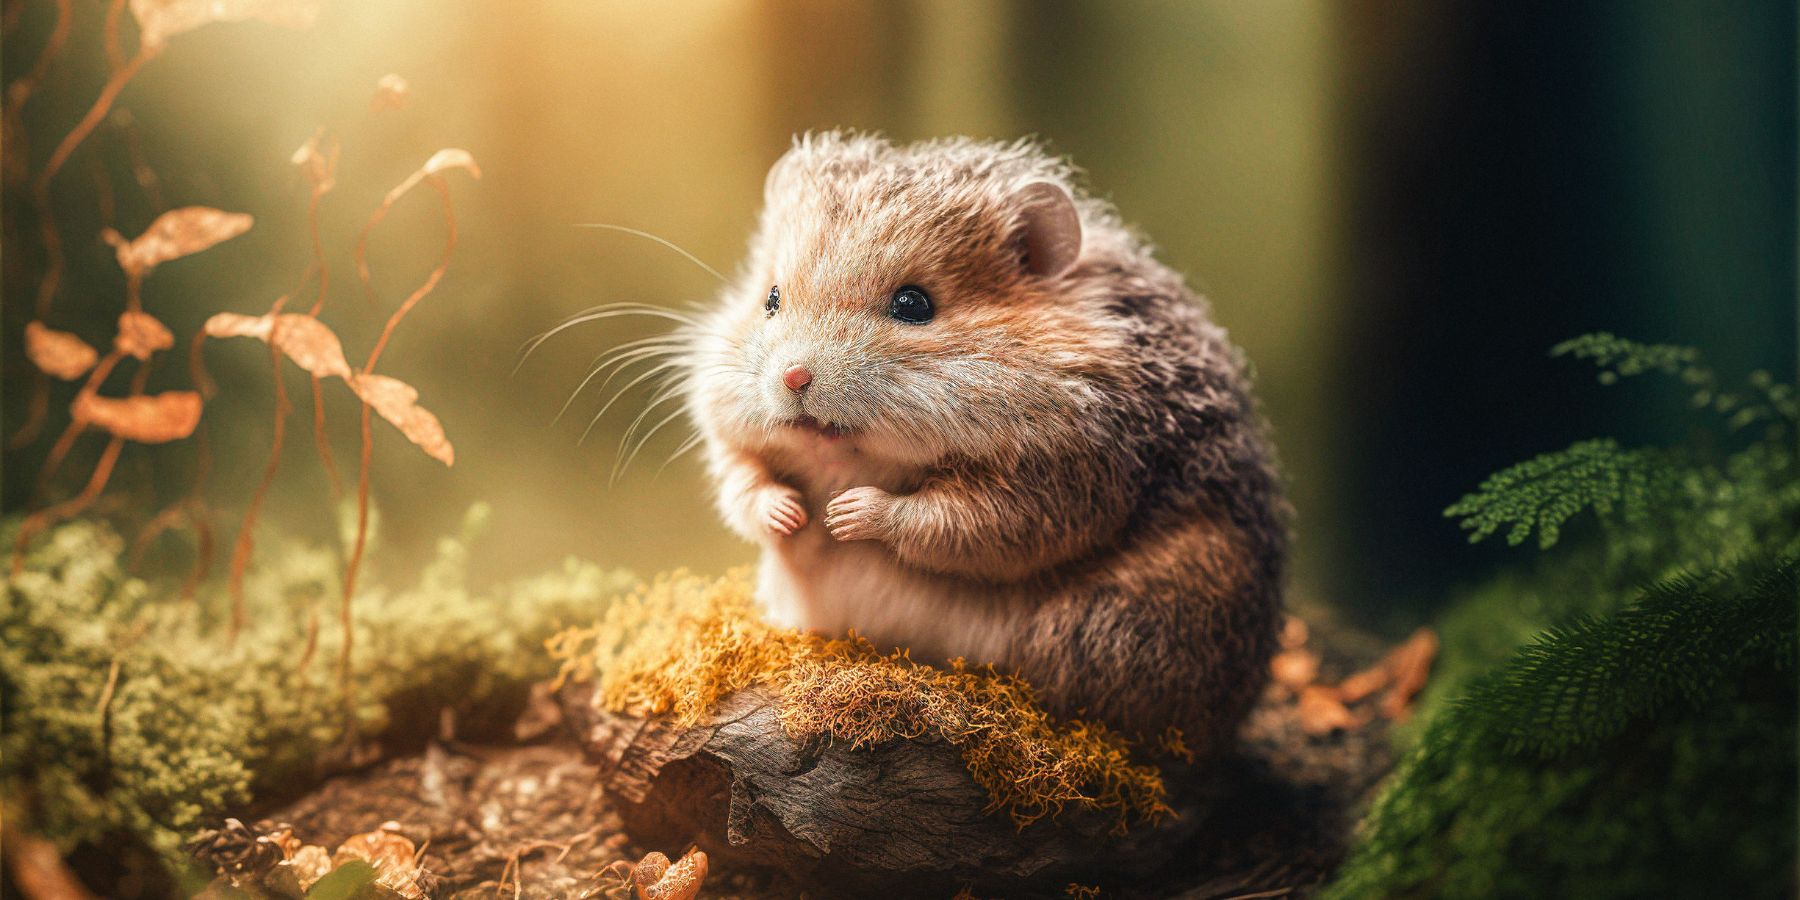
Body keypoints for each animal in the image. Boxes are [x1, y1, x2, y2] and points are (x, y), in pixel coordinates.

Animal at [679, 132, 1288, 754]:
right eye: (771, 298)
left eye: (914, 304)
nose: (794, 377)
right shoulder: (726, 429)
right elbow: (743, 483)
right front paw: (791, 514)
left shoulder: (1058, 484)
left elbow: (951, 521)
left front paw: (848, 514)